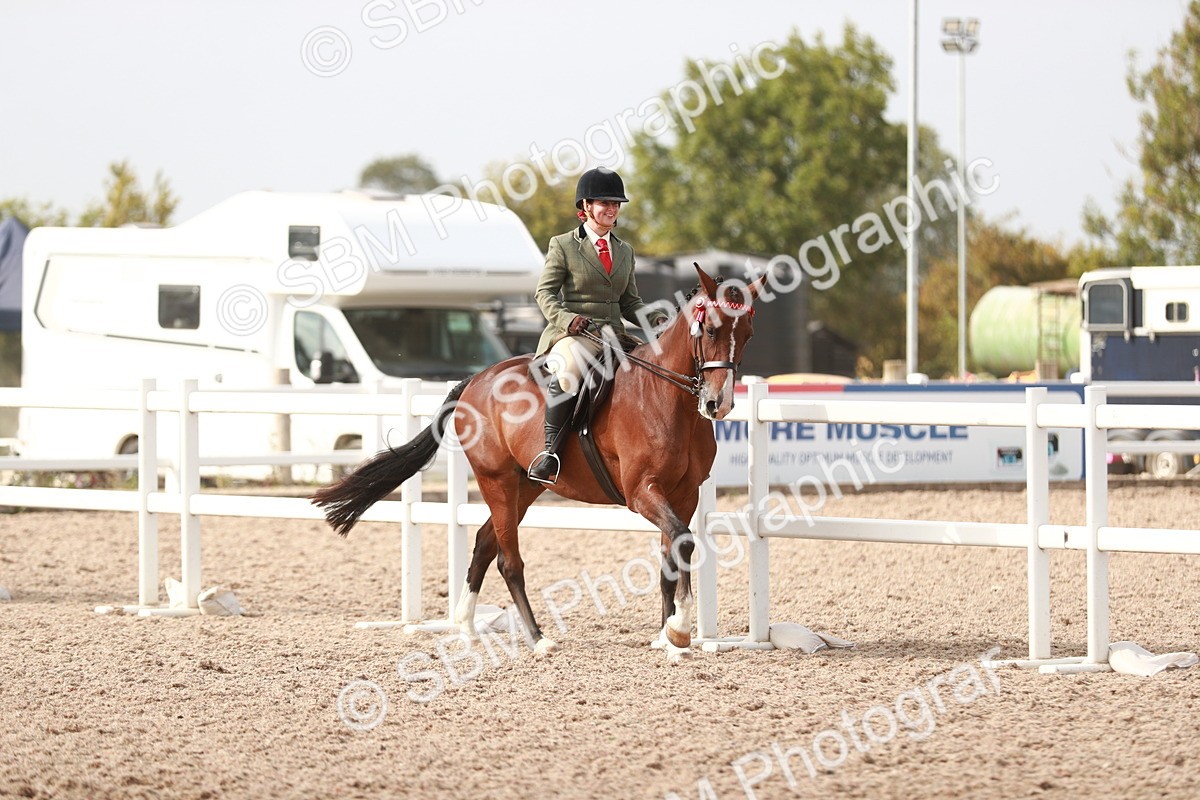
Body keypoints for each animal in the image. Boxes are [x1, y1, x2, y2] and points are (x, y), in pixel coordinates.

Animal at [312, 264, 766, 660]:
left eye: (748, 334)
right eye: (710, 329)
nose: (719, 404)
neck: (666, 399)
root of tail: (476, 380)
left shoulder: (684, 495)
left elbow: (672, 553)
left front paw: (667, 636)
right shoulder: (642, 492)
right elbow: (683, 541)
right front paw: (680, 630)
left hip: (526, 487)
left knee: (483, 543)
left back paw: (466, 627)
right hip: (496, 480)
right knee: (507, 560)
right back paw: (537, 639)